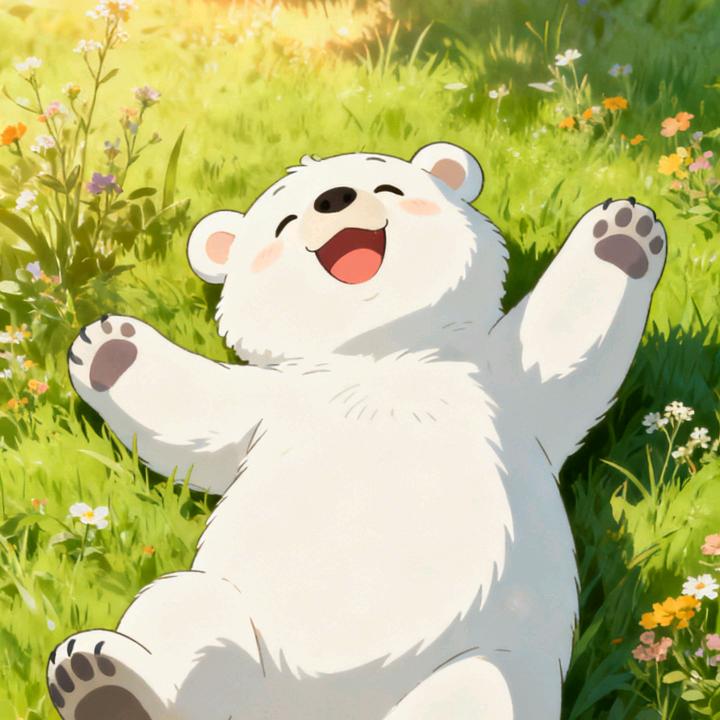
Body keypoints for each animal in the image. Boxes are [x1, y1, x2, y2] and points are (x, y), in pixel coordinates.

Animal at [47, 142, 666, 720]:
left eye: (388, 185)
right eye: (284, 221)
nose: (333, 198)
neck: (379, 355)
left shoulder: (499, 383)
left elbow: (558, 347)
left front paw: (621, 234)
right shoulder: (272, 404)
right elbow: (195, 413)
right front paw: (109, 348)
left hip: (490, 656)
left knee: (478, 688)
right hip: (249, 655)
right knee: (184, 610)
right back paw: (106, 684)